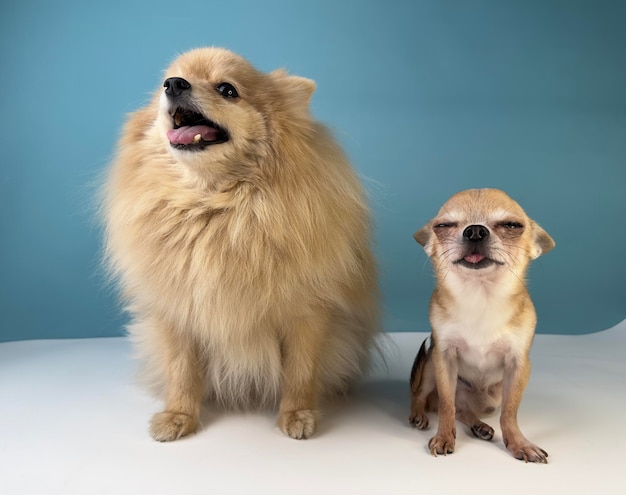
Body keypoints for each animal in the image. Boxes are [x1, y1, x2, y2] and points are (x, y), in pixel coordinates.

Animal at [103, 47, 378, 442]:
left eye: (227, 90)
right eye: (165, 82)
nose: (174, 84)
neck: (216, 207)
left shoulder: (308, 313)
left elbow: (301, 370)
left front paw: (297, 414)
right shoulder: (177, 313)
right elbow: (180, 370)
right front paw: (178, 415)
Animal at [410, 188, 552, 464]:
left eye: (512, 225)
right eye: (443, 226)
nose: (475, 230)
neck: (480, 297)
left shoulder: (518, 365)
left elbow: (509, 412)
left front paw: (518, 443)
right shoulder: (444, 357)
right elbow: (446, 405)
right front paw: (443, 436)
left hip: (491, 397)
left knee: (462, 408)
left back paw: (479, 426)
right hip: (431, 366)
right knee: (426, 396)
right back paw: (419, 414)